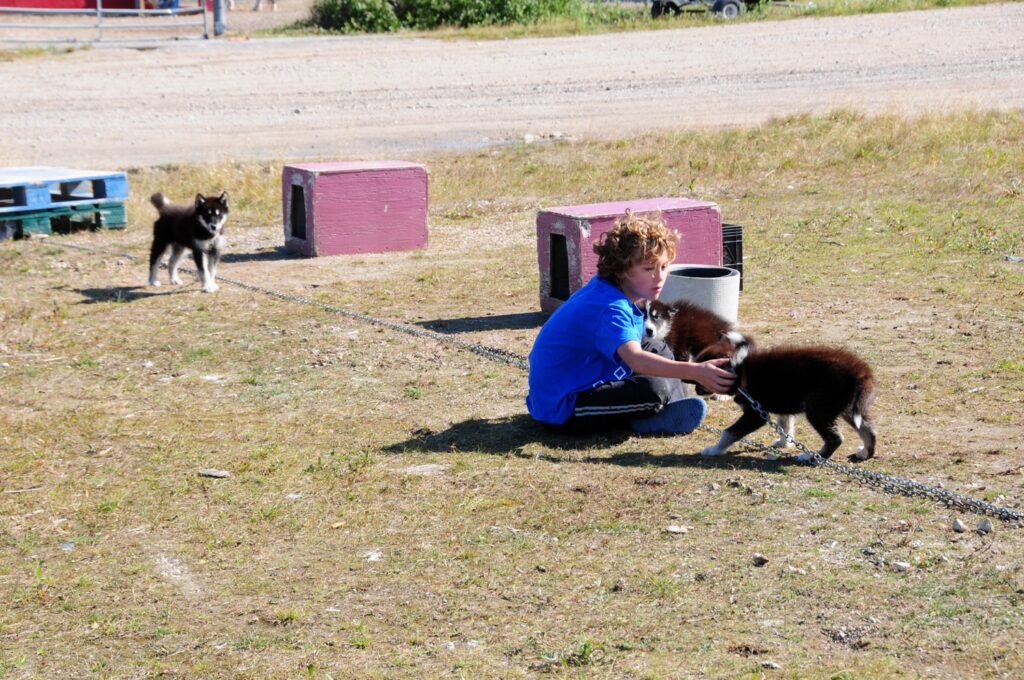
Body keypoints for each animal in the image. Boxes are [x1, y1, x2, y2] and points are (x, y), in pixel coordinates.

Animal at [700, 337, 876, 462]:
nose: (696, 390)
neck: (741, 370)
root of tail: (860, 370)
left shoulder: (755, 415)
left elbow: (729, 432)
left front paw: (714, 450)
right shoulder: (780, 408)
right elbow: (784, 426)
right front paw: (785, 443)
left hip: (818, 409)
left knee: (835, 439)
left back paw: (813, 458)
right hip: (846, 407)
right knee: (869, 431)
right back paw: (865, 453)